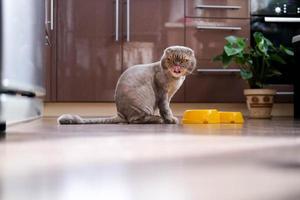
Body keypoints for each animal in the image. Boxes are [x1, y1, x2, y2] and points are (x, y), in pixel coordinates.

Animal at [57, 46, 196, 124]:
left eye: (184, 60)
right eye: (171, 59)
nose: (176, 65)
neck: (175, 80)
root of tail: (120, 114)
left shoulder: (169, 96)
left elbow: (165, 108)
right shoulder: (163, 94)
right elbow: (166, 109)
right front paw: (170, 119)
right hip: (142, 105)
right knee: (134, 120)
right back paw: (157, 119)